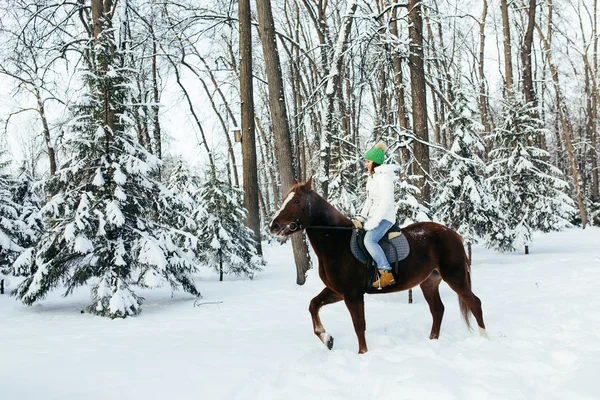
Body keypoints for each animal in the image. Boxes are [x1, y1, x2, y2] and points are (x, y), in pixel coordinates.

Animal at [270, 178, 486, 354]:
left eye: (296, 201)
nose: (273, 226)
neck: (337, 241)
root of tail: (453, 234)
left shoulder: (352, 294)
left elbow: (359, 325)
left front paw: (362, 354)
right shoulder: (338, 291)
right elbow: (313, 305)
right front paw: (327, 339)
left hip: (455, 277)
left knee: (475, 303)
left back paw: (485, 338)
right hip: (429, 282)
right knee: (438, 310)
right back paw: (432, 341)